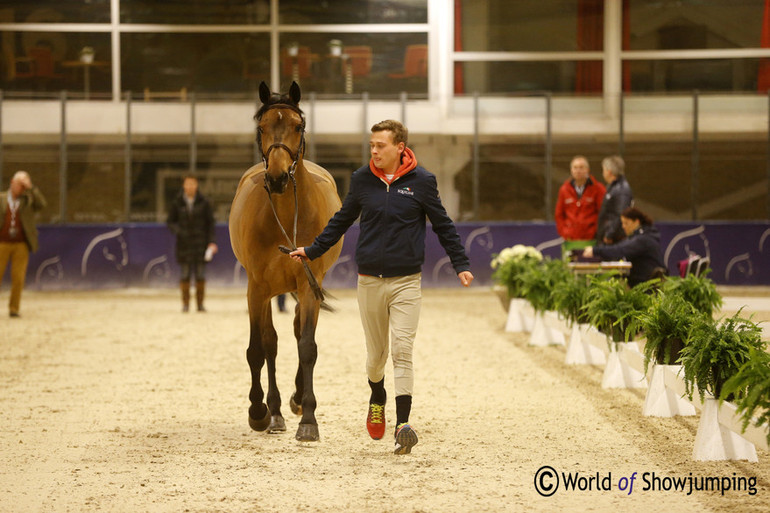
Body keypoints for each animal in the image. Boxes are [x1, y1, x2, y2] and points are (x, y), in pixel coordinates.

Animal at [228, 83, 342, 440]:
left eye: (298, 126)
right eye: (262, 127)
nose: (277, 178)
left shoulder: (308, 285)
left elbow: (307, 346)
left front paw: (309, 418)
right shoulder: (256, 289)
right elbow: (257, 349)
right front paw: (258, 411)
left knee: (293, 331)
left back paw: (293, 401)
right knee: (271, 343)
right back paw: (275, 412)